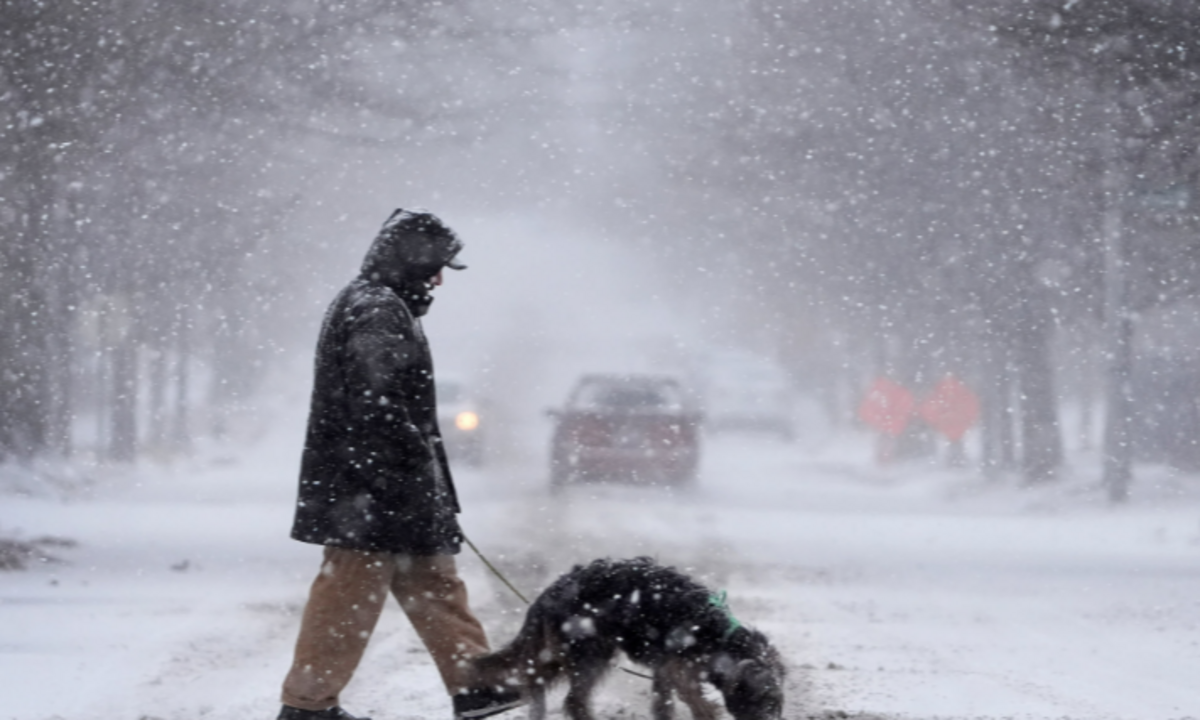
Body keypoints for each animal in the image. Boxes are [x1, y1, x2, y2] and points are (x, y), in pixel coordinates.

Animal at [468, 556, 787, 720]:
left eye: (776, 702)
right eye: (765, 700)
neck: (719, 636)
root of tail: (547, 596)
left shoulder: (665, 669)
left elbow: (663, 704)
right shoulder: (680, 669)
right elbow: (697, 703)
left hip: (561, 651)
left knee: (534, 680)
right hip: (589, 652)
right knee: (573, 700)